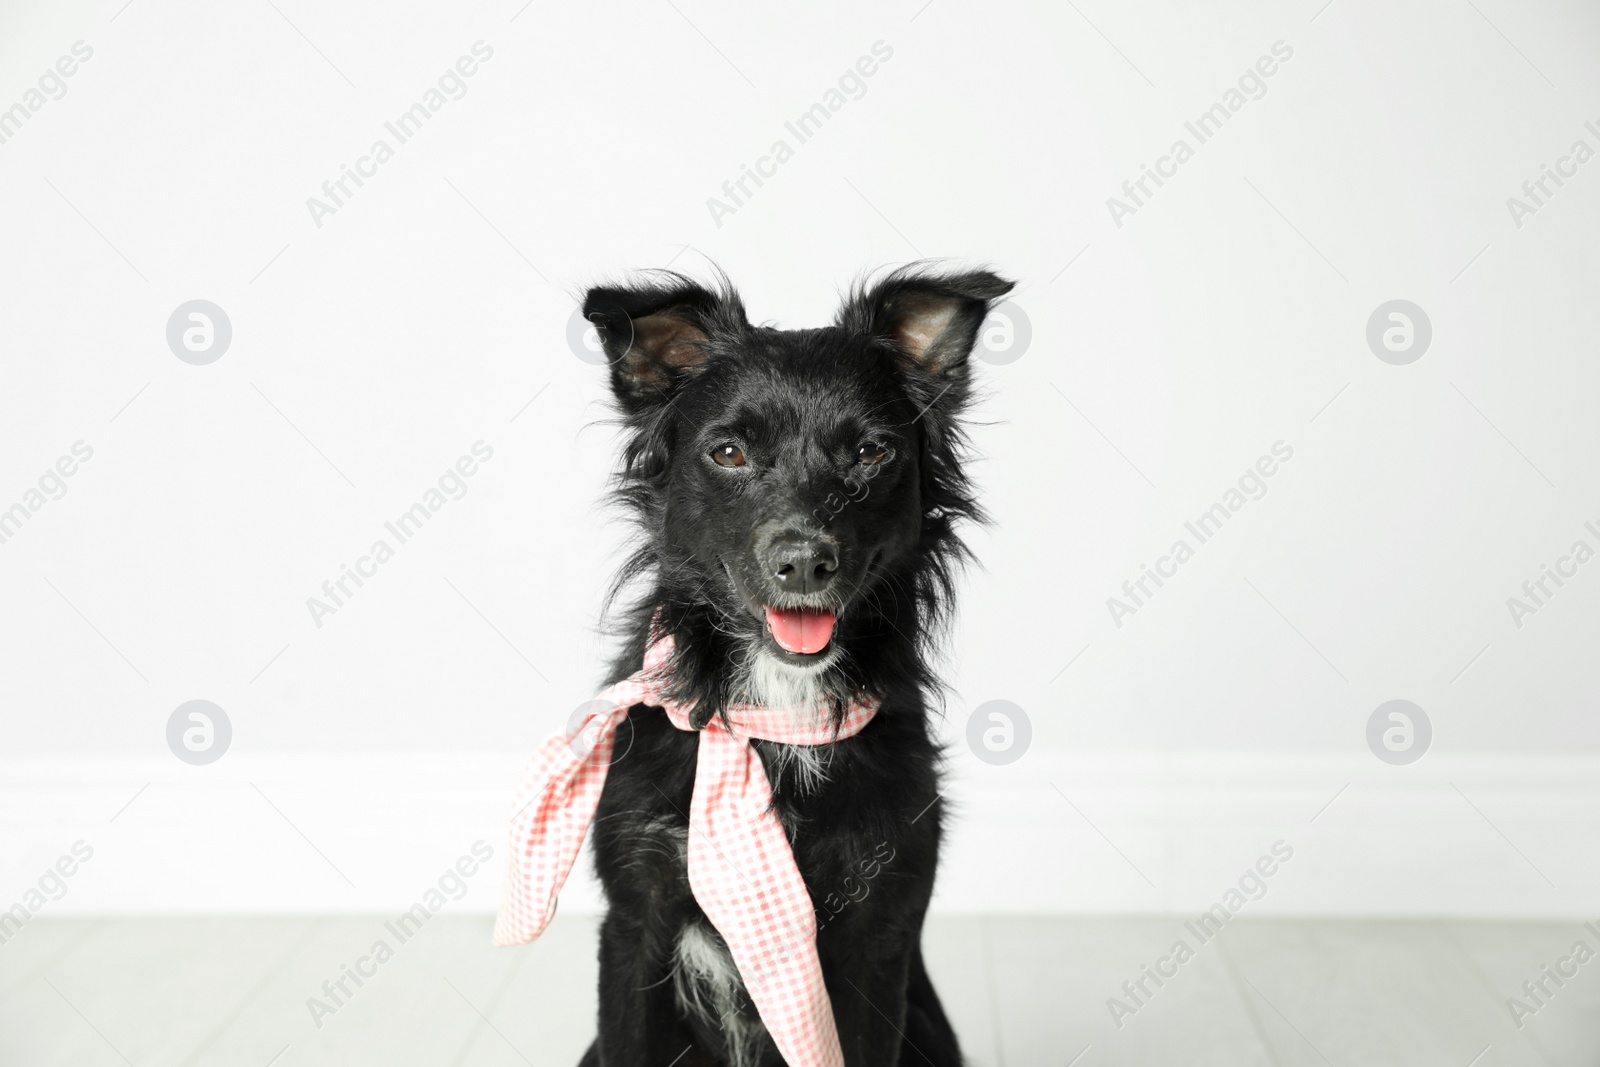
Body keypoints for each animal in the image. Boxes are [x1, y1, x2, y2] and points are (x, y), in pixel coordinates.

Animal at [576, 260, 1004, 1067]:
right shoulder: (634, 921)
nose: (804, 560)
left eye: (871, 453)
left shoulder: (880, 934)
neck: (778, 710)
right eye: (729, 452)